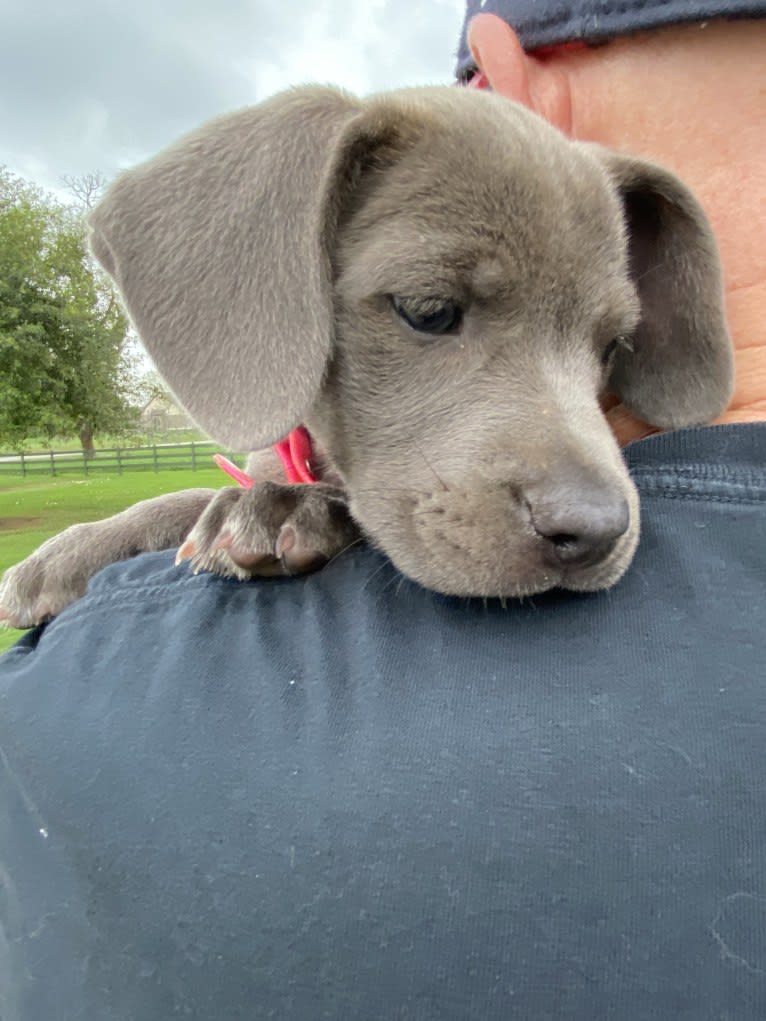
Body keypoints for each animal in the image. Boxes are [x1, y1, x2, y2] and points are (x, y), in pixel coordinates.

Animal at [0, 87, 735, 624]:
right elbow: (185, 494)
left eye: (612, 346)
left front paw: (284, 509)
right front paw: (68, 551)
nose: (595, 530)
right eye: (427, 309)